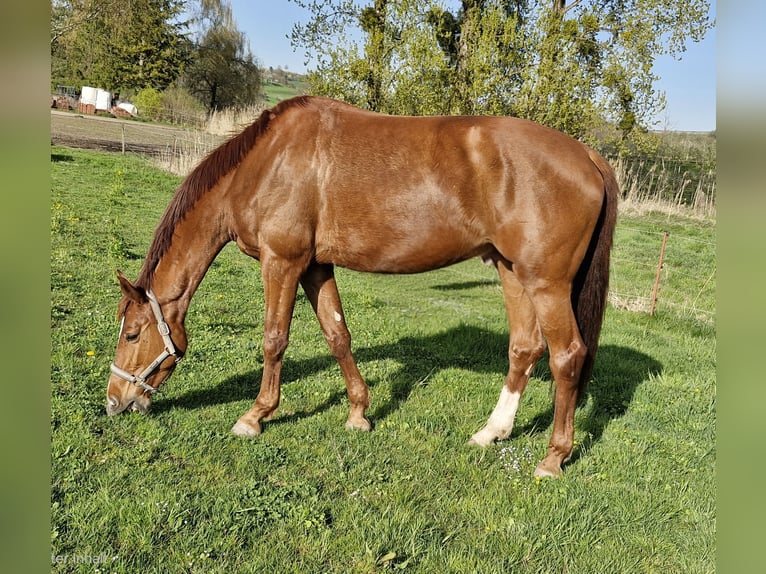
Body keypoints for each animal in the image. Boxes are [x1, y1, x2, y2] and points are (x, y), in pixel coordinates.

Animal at [106, 95, 618, 478]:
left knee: (567, 356)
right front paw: (358, 414)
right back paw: (490, 433)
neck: (265, 164)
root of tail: (589, 156)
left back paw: (553, 459)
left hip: (547, 283)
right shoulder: (315, 267)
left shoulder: (282, 262)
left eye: (131, 334)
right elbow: (338, 335)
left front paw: (254, 416)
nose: (115, 402)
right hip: (512, 270)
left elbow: (275, 339)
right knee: (524, 348)